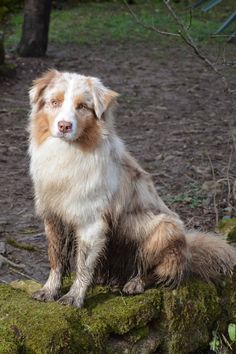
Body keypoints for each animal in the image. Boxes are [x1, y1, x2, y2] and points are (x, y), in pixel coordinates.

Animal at [29, 69, 236, 306]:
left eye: (82, 106)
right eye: (55, 102)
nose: (64, 126)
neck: (68, 153)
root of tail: (188, 251)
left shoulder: (92, 223)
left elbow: (83, 264)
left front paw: (74, 297)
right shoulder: (53, 216)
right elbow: (56, 259)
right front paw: (49, 290)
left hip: (164, 228)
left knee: (157, 271)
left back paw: (135, 283)